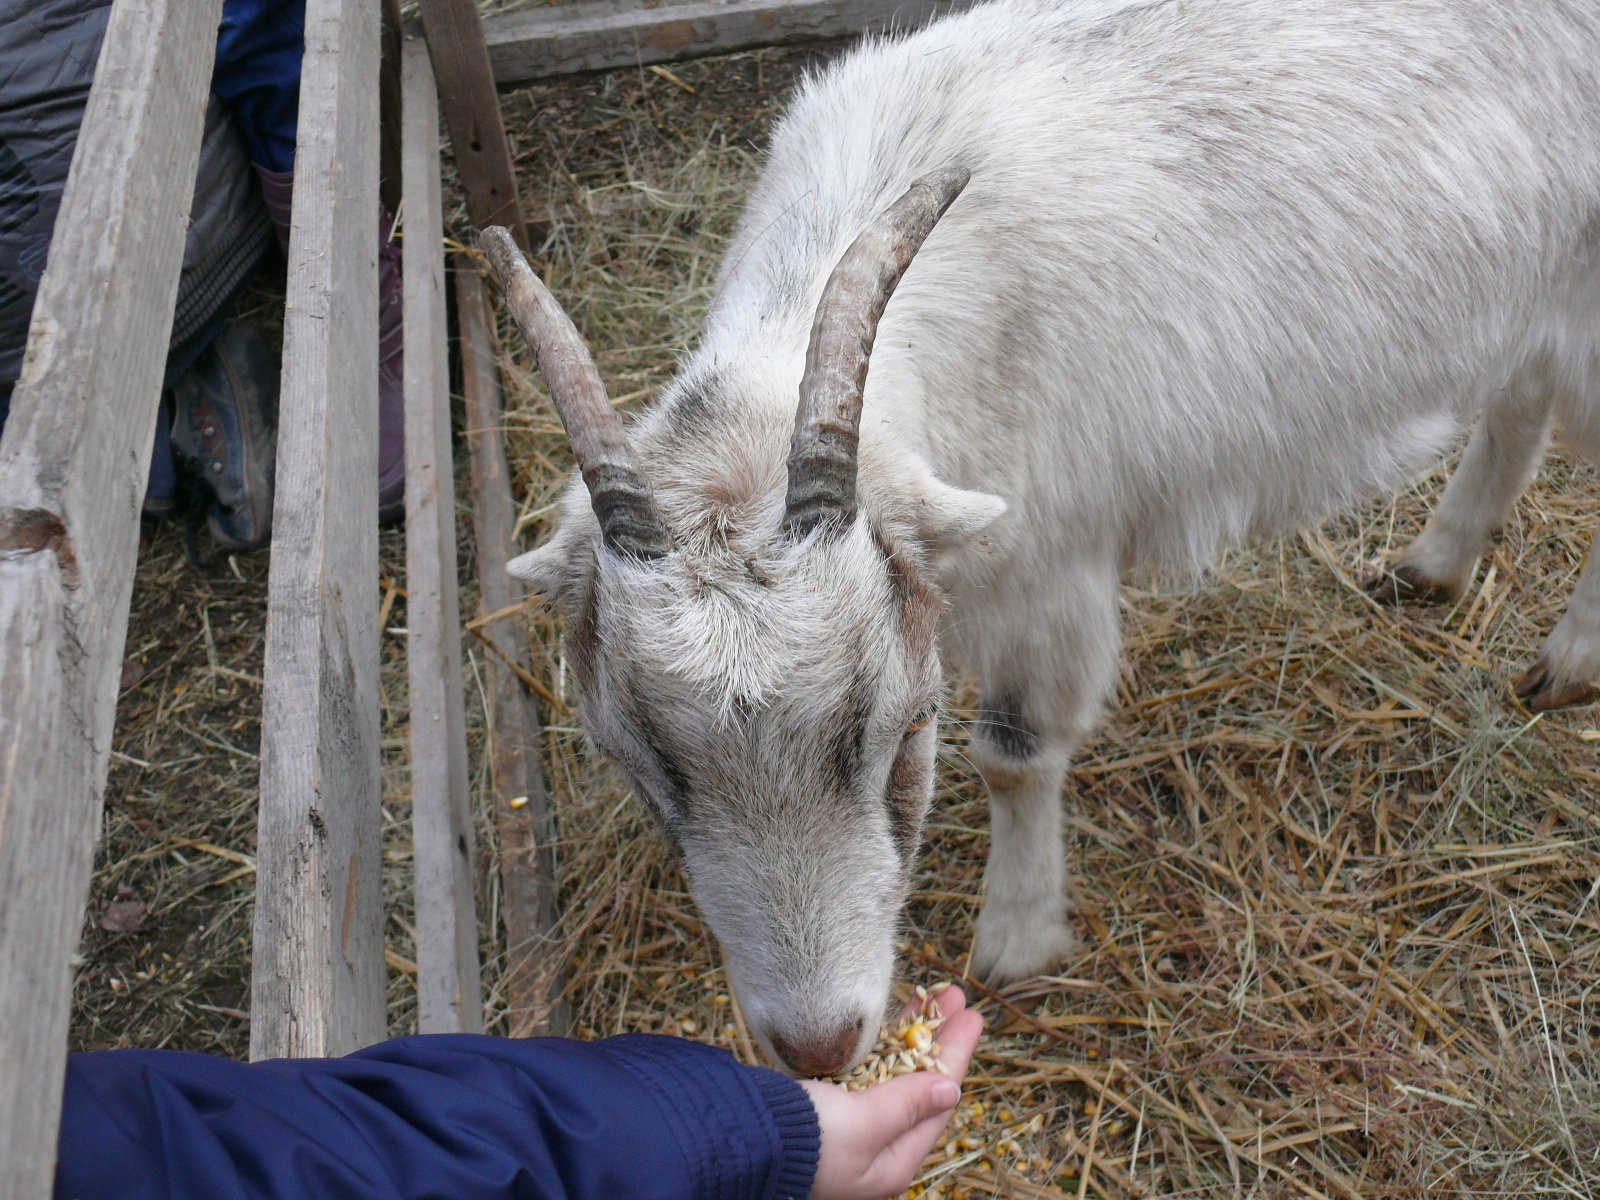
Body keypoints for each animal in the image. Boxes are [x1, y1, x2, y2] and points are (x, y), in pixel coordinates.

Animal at [483, 0, 1600, 1081]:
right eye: (638, 762)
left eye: (904, 728)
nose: (817, 1046)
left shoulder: (1051, 570)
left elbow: (1015, 754)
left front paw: (1015, 942)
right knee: (1521, 401)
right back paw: (1433, 566)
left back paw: (1566, 665)